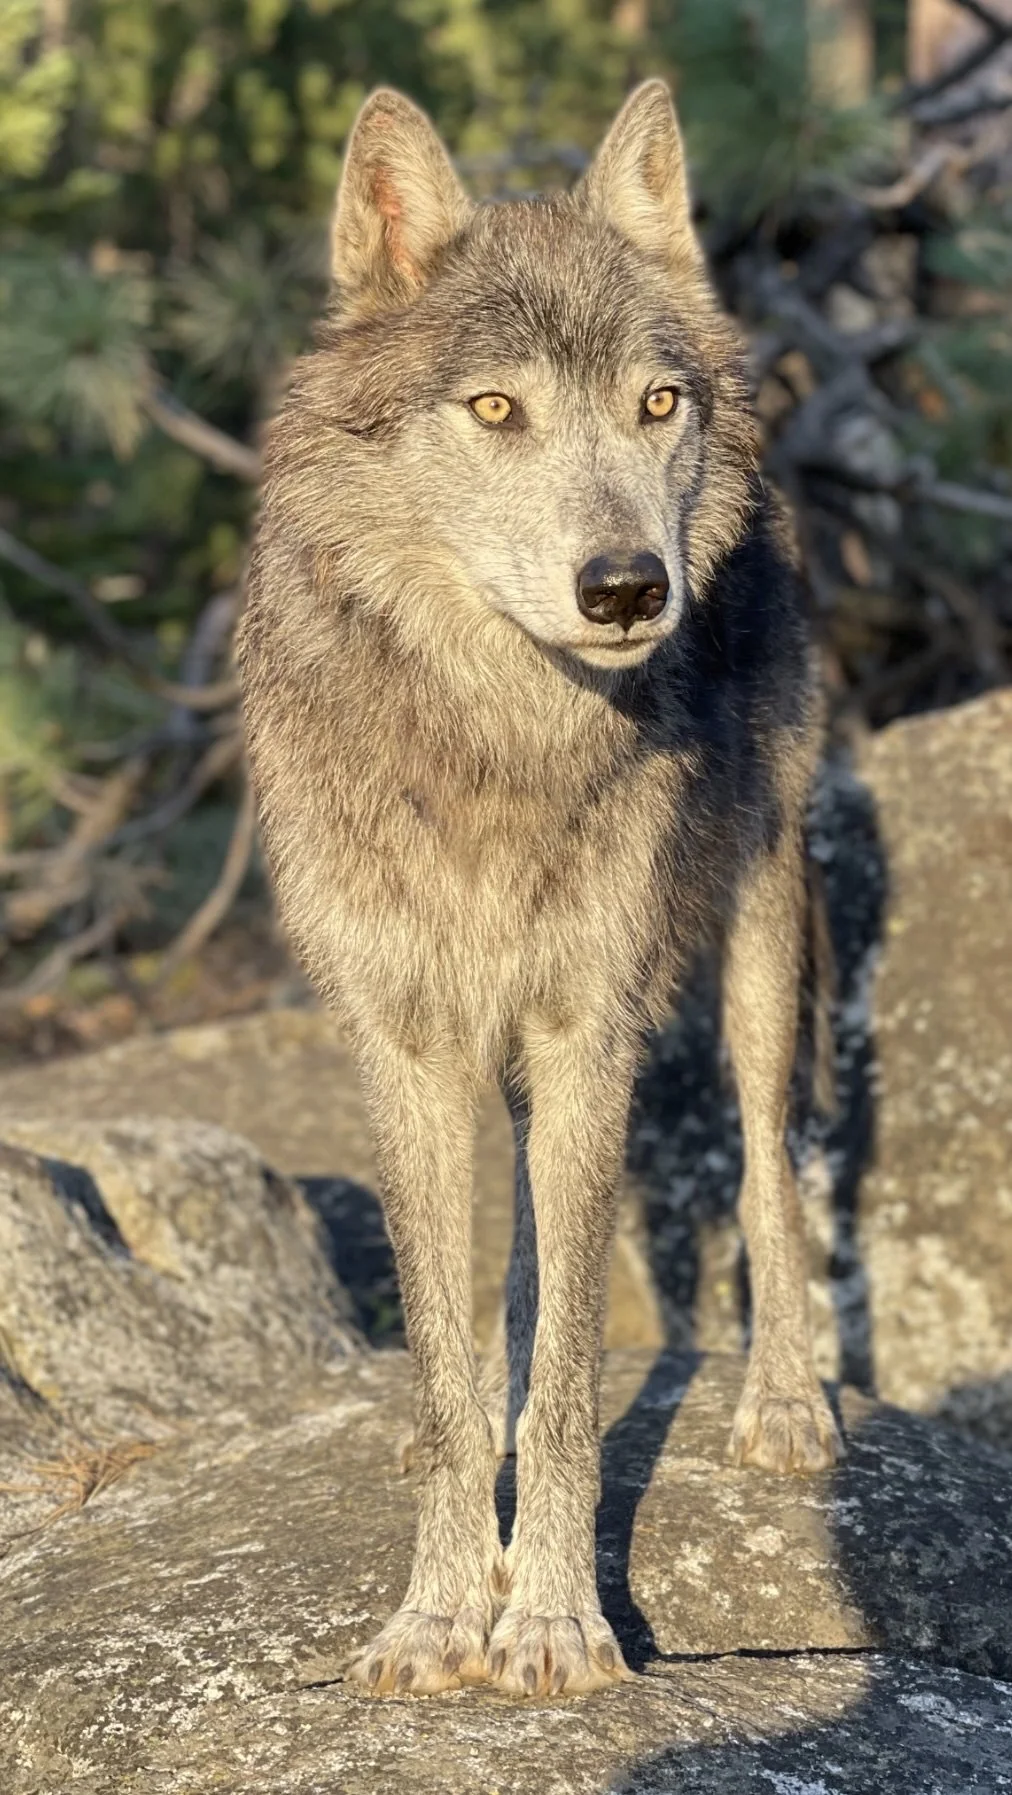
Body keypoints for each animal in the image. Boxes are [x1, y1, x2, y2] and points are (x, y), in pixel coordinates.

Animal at [237, 78, 842, 1699]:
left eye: (655, 406)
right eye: (496, 409)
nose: (628, 589)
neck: (491, 742)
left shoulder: (589, 1026)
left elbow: (573, 1369)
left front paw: (555, 1618)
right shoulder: (408, 1040)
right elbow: (455, 1365)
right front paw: (441, 1611)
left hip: (759, 935)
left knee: (768, 1161)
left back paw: (786, 1401)